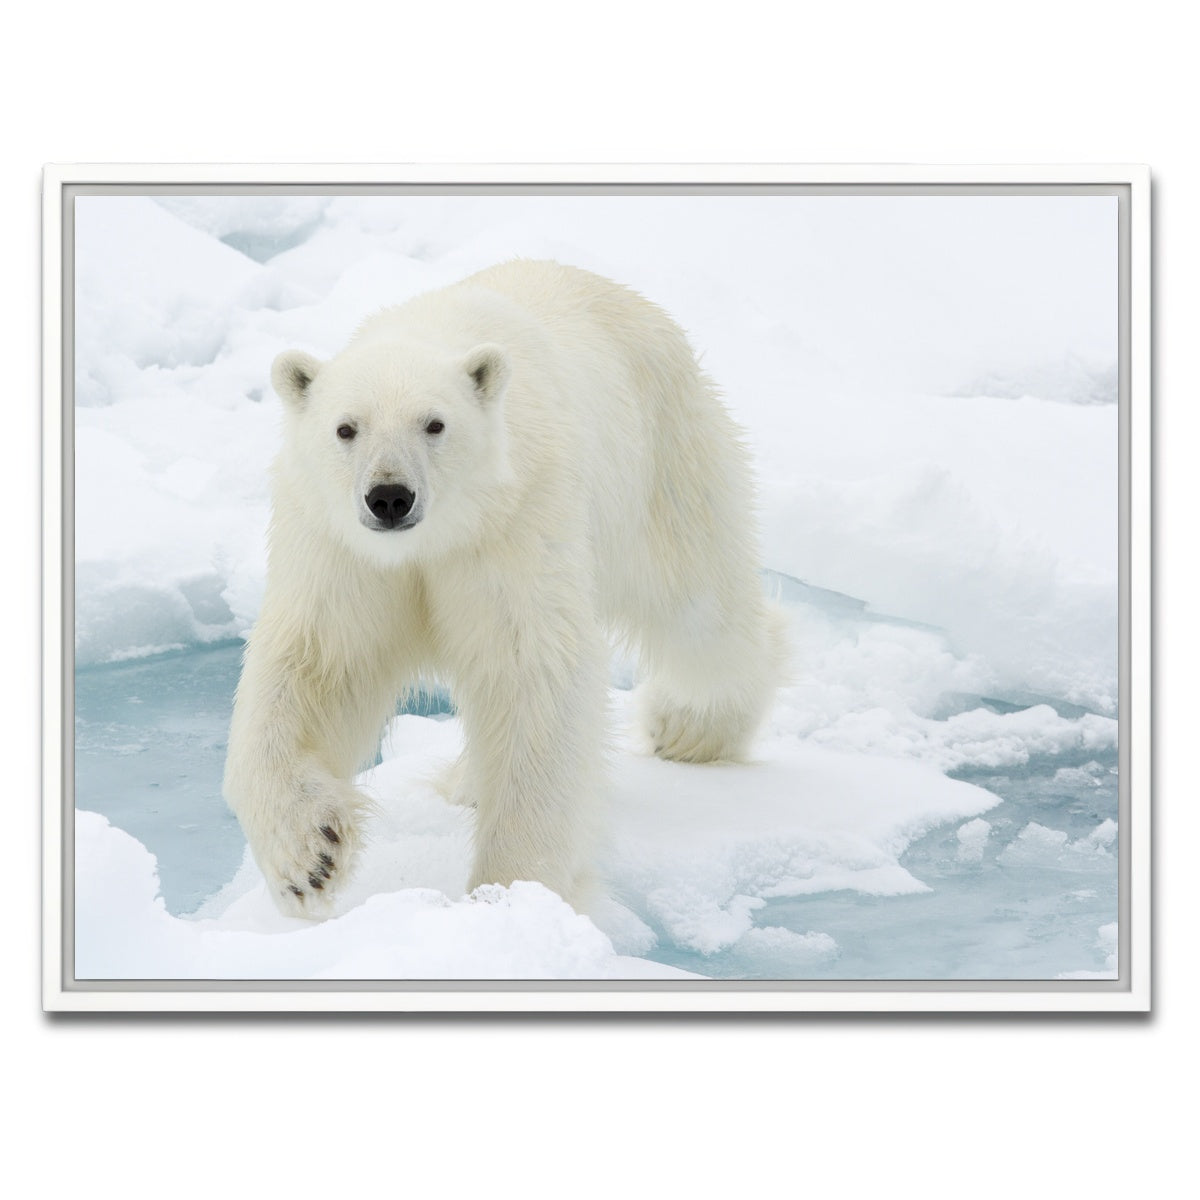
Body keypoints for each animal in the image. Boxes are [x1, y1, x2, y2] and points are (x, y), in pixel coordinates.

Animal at [223, 259, 786, 917]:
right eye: (345, 428)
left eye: (435, 423)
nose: (389, 497)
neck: (434, 539)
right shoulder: (341, 550)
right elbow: (316, 664)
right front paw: (310, 856)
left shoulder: (514, 521)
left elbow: (530, 672)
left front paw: (512, 890)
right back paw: (468, 780)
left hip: (663, 460)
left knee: (699, 610)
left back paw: (689, 728)